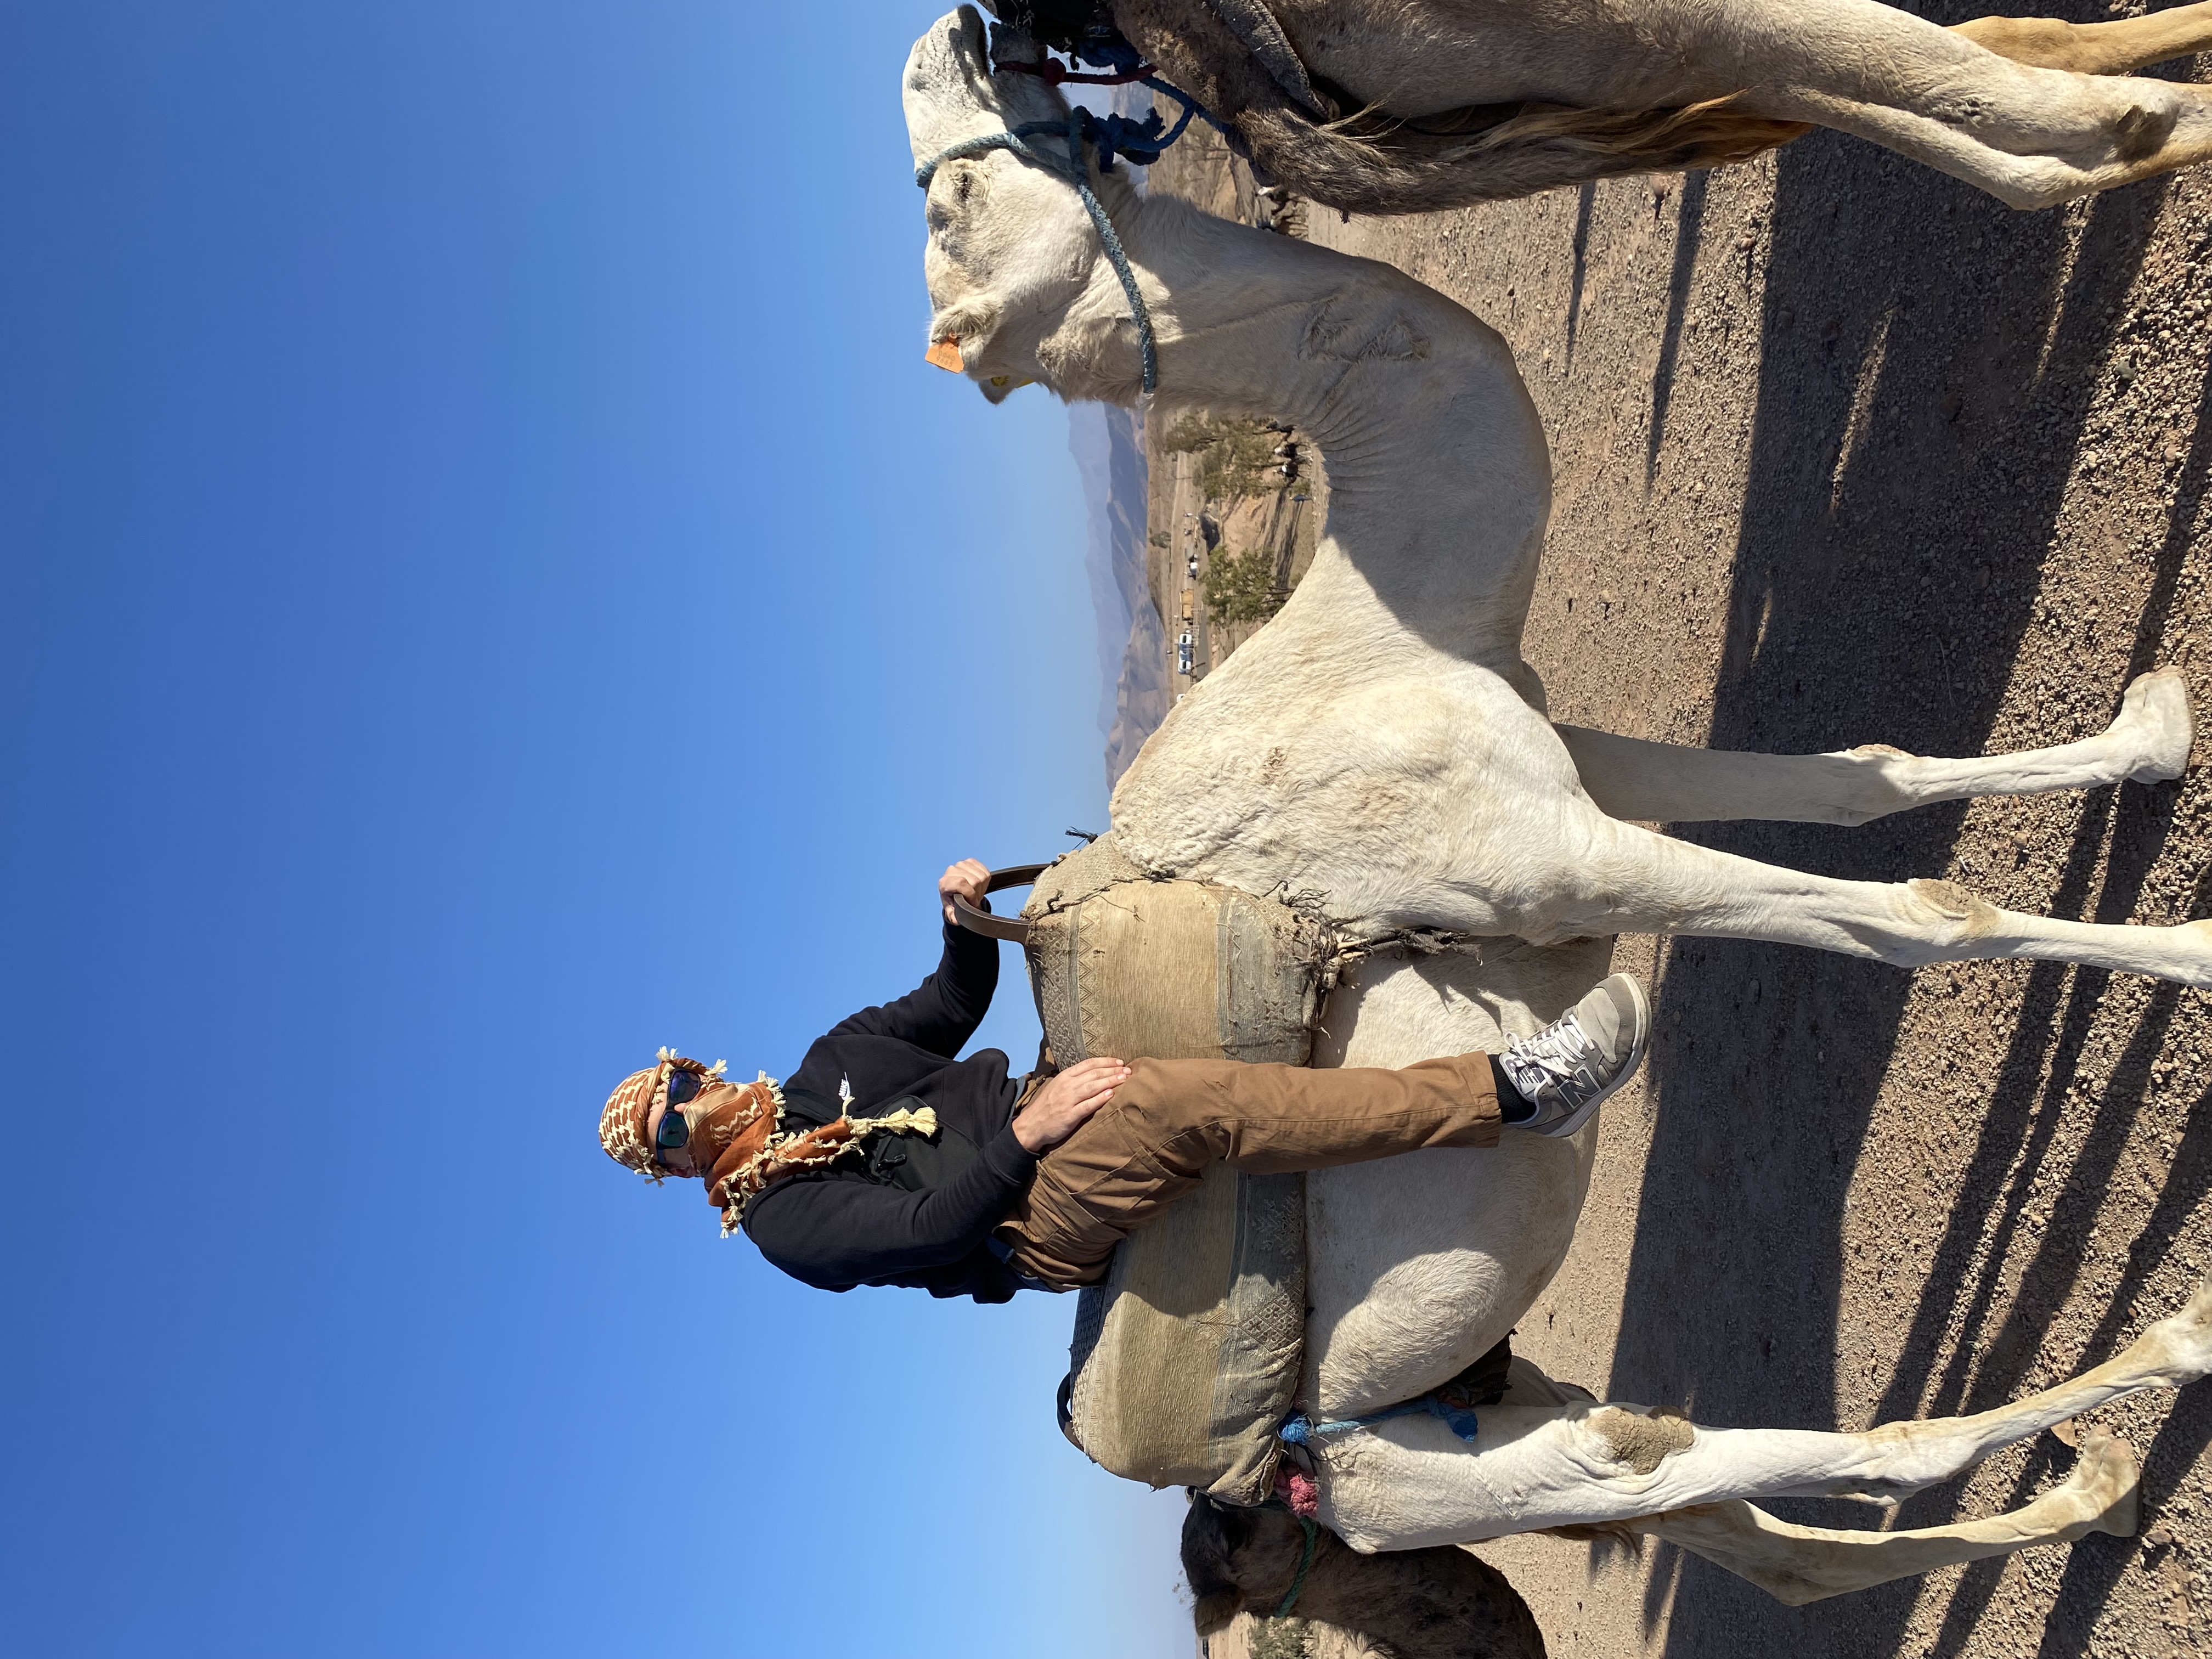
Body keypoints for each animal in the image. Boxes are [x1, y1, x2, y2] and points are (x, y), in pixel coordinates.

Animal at [905, 3, 2202, 1607]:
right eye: (954, 209)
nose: (948, 35)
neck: (1381, 633)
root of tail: (1269, 1491)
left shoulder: (1587, 767)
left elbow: (1860, 784)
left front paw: (2158, 732)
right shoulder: (1548, 863)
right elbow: (1922, 919)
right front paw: (2199, 951)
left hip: (1479, 1405)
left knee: (1738, 1531)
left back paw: (2100, 1489)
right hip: (1432, 1475)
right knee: (1700, 1463)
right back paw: (2168, 1349)